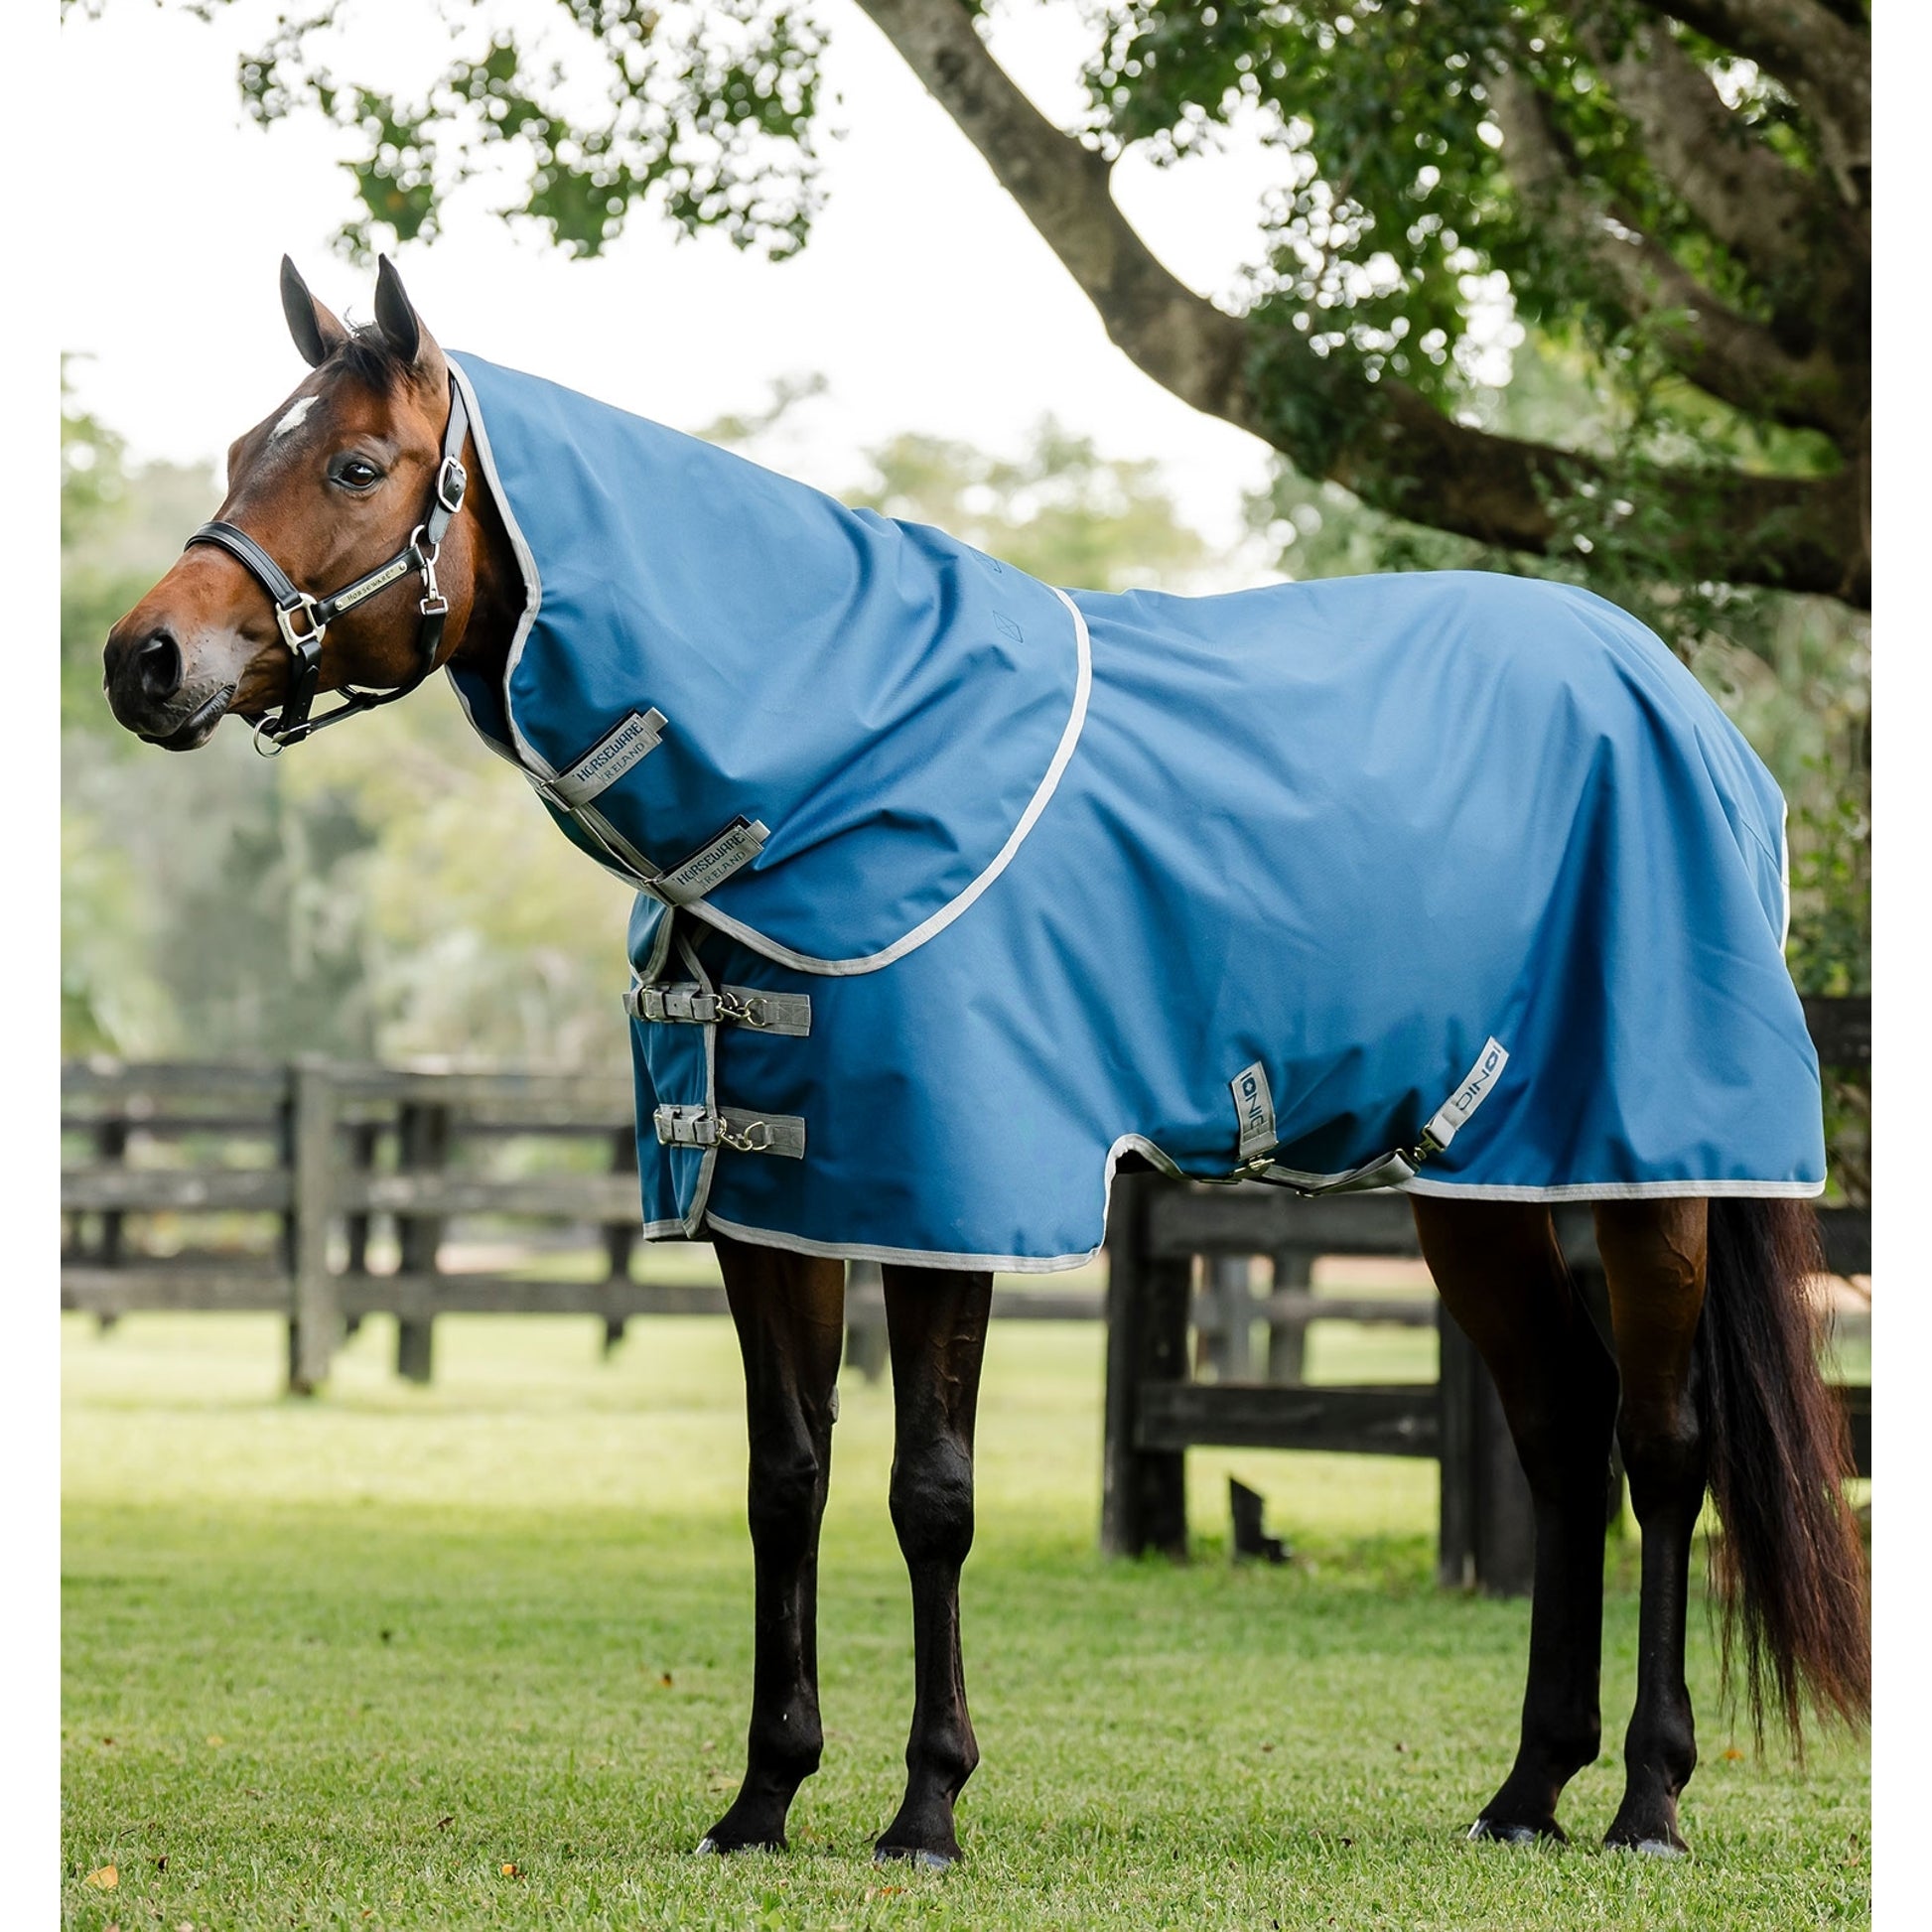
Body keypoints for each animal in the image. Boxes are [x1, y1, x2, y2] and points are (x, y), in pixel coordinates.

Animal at [100, 257, 1868, 1866]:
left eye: (353, 465)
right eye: (242, 448)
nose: (143, 661)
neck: (823, 760)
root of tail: (1691, 714)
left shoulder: (944, 1197)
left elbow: (928, 1493)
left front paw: (926, 1805)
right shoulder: (774, 1204)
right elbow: (788, 1479)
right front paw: (761, 1799)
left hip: (1654, 1175)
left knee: (1661, 1451)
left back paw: (1646, 1797)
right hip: (1476, 1185)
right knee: (1562, 1434)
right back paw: (1524, 1789)